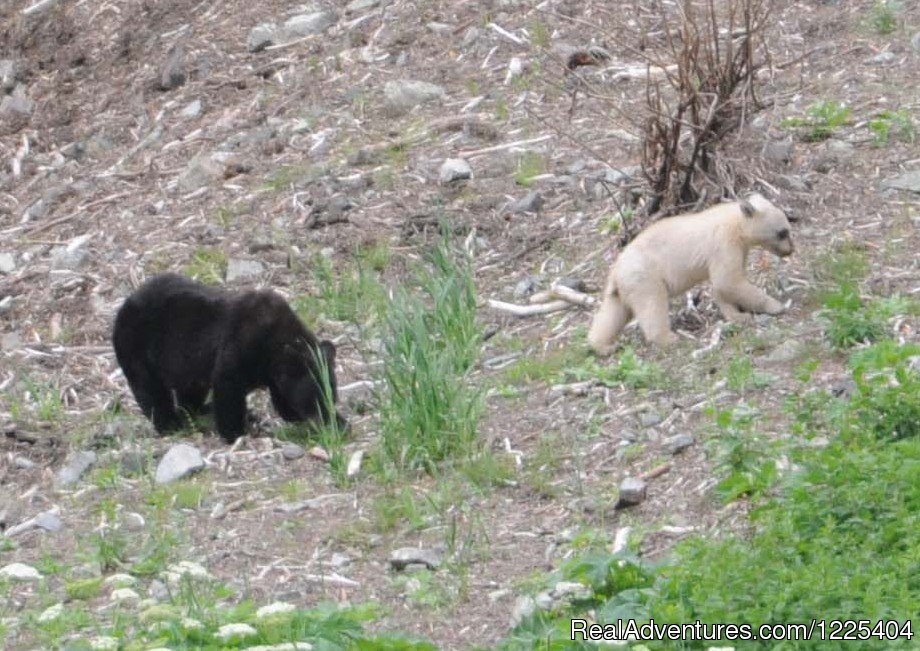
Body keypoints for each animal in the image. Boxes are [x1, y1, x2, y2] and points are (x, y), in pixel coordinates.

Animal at [113, 276, 344, 444]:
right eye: (316, 397)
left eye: (332, 394)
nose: (327, 417)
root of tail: (123, 307)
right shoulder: (240, 347)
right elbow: (228, 387)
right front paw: (236, 432)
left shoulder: (276, 372)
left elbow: (283, 401)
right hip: (136, 351)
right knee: (150, 391)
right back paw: (171, 424)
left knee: (189, 393)